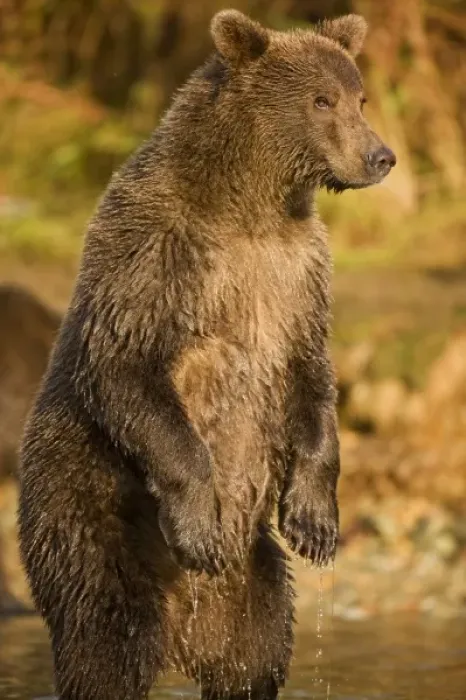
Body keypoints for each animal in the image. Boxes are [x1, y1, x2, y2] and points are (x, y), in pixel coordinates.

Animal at [18, 10, 395, 700]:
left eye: (360, 98)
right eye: (320, 99)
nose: (380, 156)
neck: (249, 204)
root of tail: (181, 626)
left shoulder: (296, 275)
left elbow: (311, 374)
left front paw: (315, 522)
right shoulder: (156, 251)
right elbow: (127, 365)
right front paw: (199, 525)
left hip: (251, 581)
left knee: (254, 656)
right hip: (87, 516)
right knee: (105, 642)